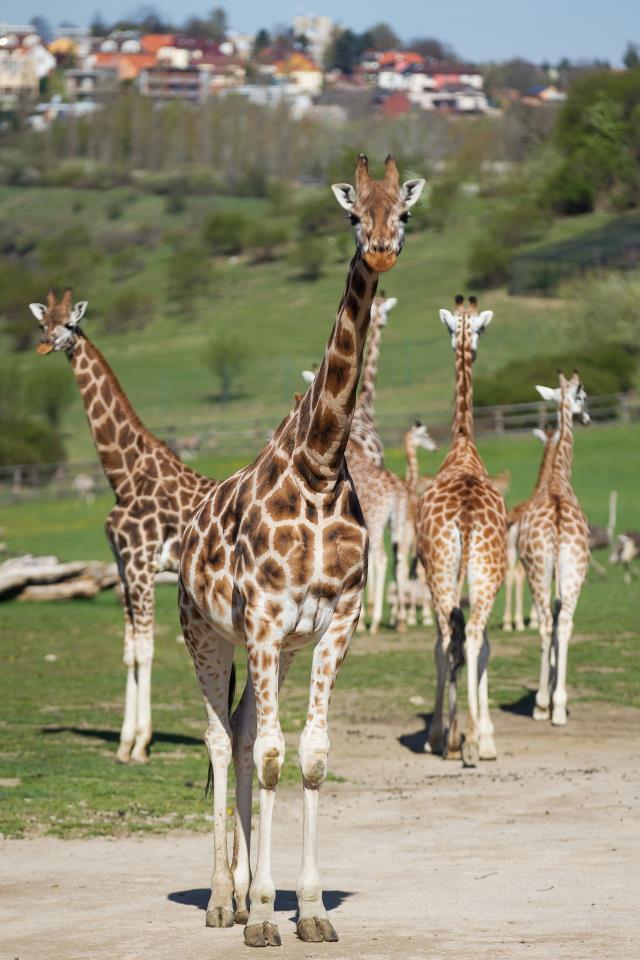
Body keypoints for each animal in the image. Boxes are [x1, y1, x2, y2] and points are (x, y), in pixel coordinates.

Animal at [29, 288, 218, 760]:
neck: (125, 476)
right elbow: (130, 651)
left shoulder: (141, 563)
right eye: (43, 323)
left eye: (70, 324)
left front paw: (140, 745)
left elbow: (147, 649)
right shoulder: (121, 565)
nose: (45, 344)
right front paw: (123, 742)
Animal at [178, 156, 424, 944]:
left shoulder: (333, 622)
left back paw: (245, 892)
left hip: (278, 649)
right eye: (352, 213)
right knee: (221, 739)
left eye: (403, 213)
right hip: (205, 634)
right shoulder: (258, 622)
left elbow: (308, 758)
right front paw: (261, 914)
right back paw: (221, 900)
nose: (380, 250)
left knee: (245, 734)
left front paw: (308, 911)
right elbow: (270, 756)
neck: (318, 465)